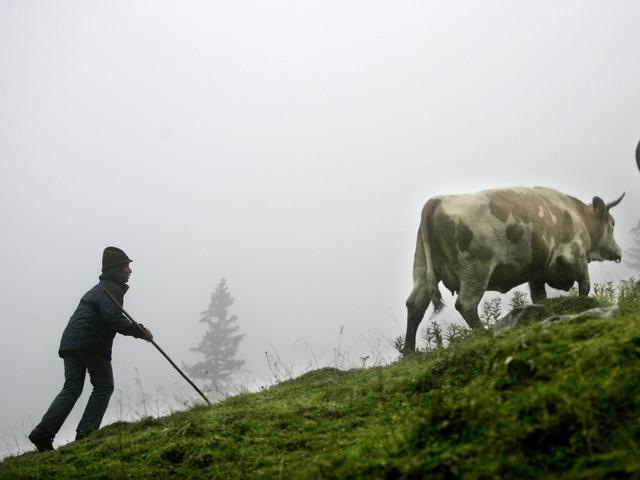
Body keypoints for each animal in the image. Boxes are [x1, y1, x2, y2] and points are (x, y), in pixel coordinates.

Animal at [404, 187, 624, 352]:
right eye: (612, 223)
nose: (618, 252)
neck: (574, 213)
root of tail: (438, 201)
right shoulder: (576, 256)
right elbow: (585, 287)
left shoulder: (537, 272)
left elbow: (540, 297)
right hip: (476, 270)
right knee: (465, 304)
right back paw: (485, 334)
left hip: (422, 269)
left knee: (415, 304)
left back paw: (409, 352)